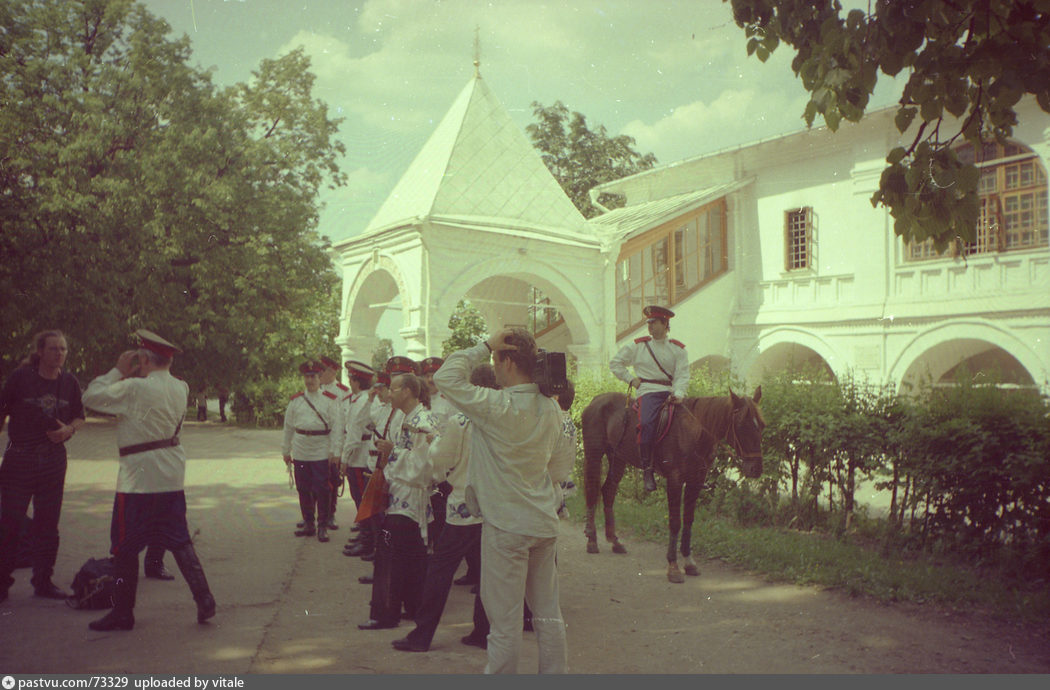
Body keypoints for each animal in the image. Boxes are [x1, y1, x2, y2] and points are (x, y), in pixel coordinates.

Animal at [579, 386, 768, 579]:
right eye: (741, 425)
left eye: (761, 425)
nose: (756, 468)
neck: (692, 433)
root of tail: (596, 400)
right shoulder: (675, 481)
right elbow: (675, 522)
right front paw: (673, 566)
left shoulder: (695, 482)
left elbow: (689, 520)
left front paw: (689, 562)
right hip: (594, 455)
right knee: (592, 491)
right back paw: (592, 539)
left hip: (617, 458)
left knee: (608, 491)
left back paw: (614, 541)